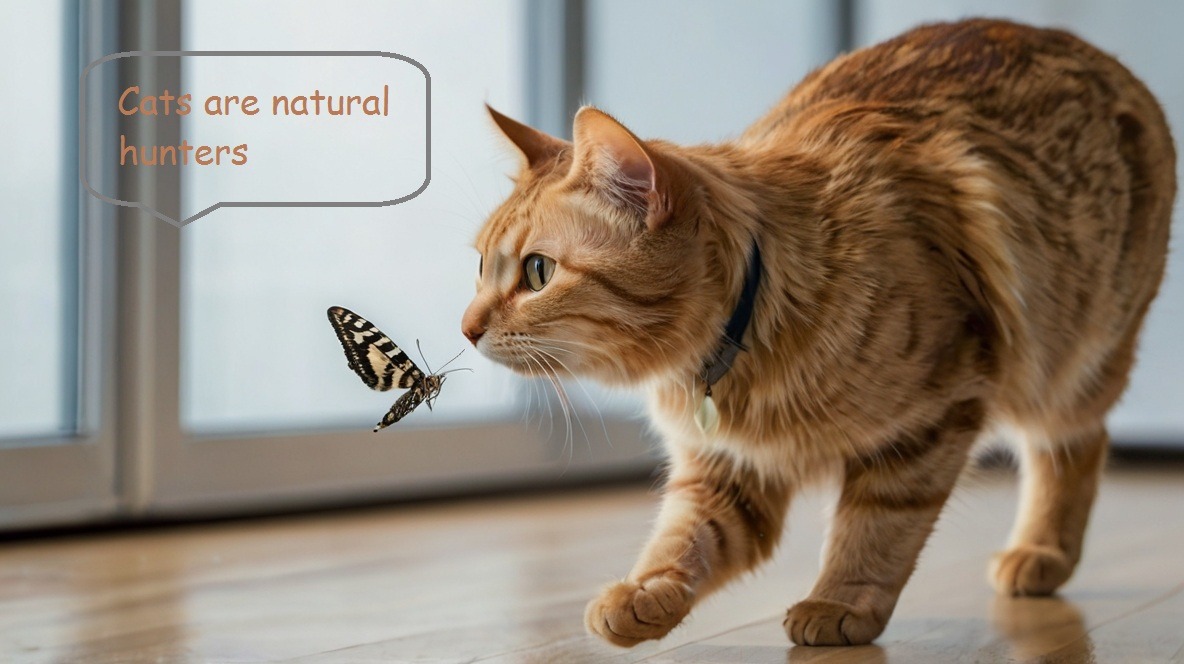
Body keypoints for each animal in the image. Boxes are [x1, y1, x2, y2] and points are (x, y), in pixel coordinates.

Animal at [457, 18, 1169, 643]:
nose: (465, 329)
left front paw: (840, 603)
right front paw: (643, 594)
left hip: (1066, 363)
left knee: (1077, 442)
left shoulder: (931, 418)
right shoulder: (728, 470)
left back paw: (1041, 551)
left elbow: (876, 528)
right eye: (480, 266)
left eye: (538, 272)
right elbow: (683, 539)